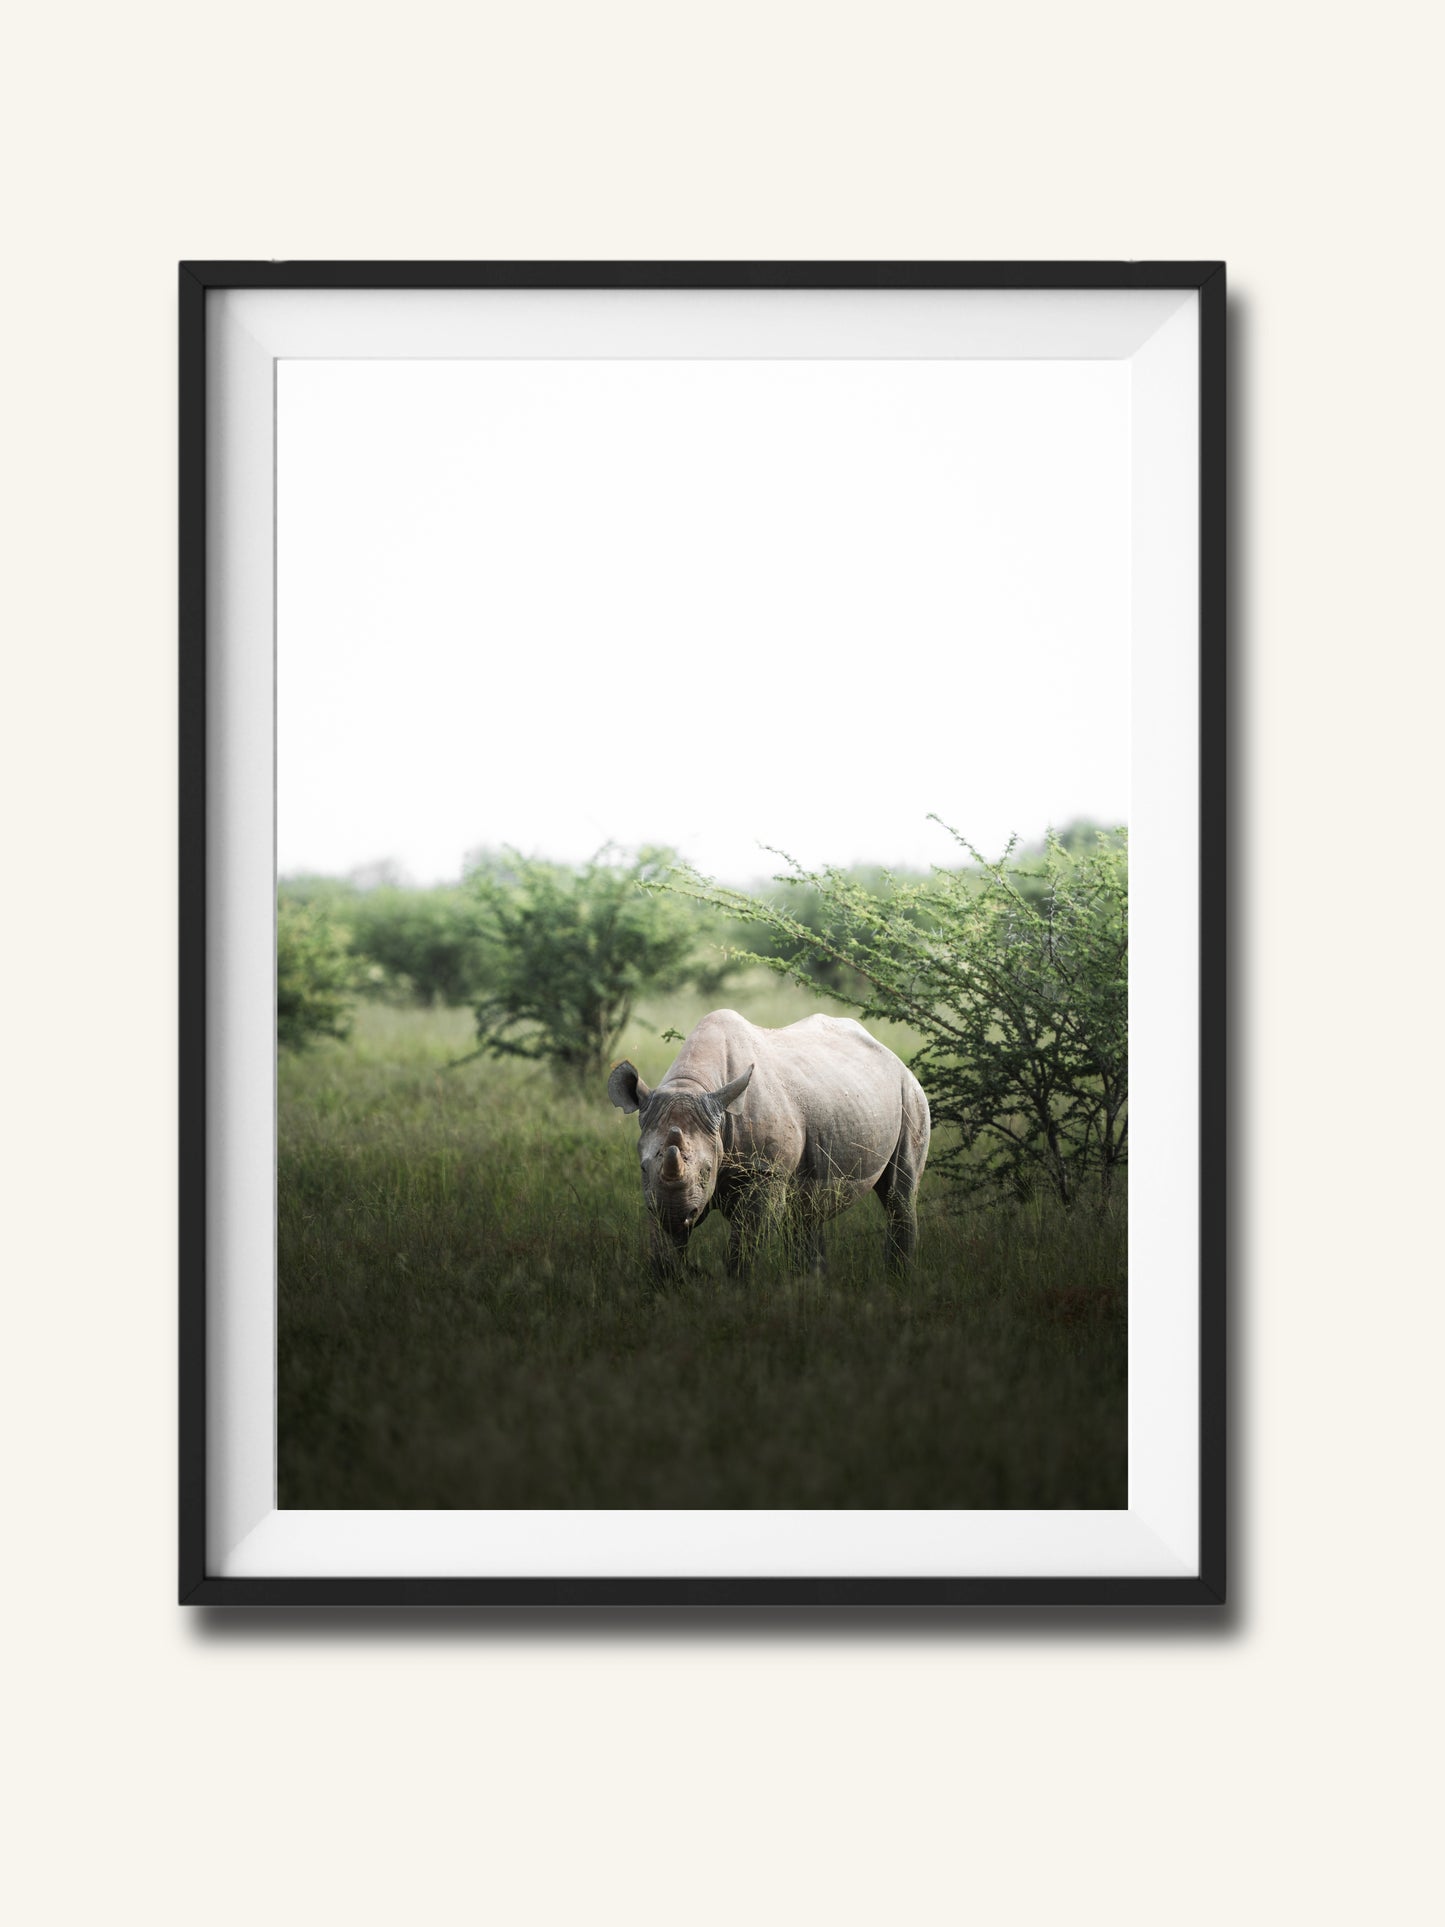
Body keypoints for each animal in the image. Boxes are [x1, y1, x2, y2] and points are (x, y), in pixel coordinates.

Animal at [608, 1008, 930, 1277]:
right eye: (642, 1168)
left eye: (707, 1170)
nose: (676, 1217)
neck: (693, 1084)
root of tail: (890, 1054)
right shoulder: (655, 1194)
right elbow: (661, 1249)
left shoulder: (765, 1170)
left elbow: (745, 1246)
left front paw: (739, 1291)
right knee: (806, 1214)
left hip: (910, 1091)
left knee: (900, 1193)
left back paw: (898, 1279)